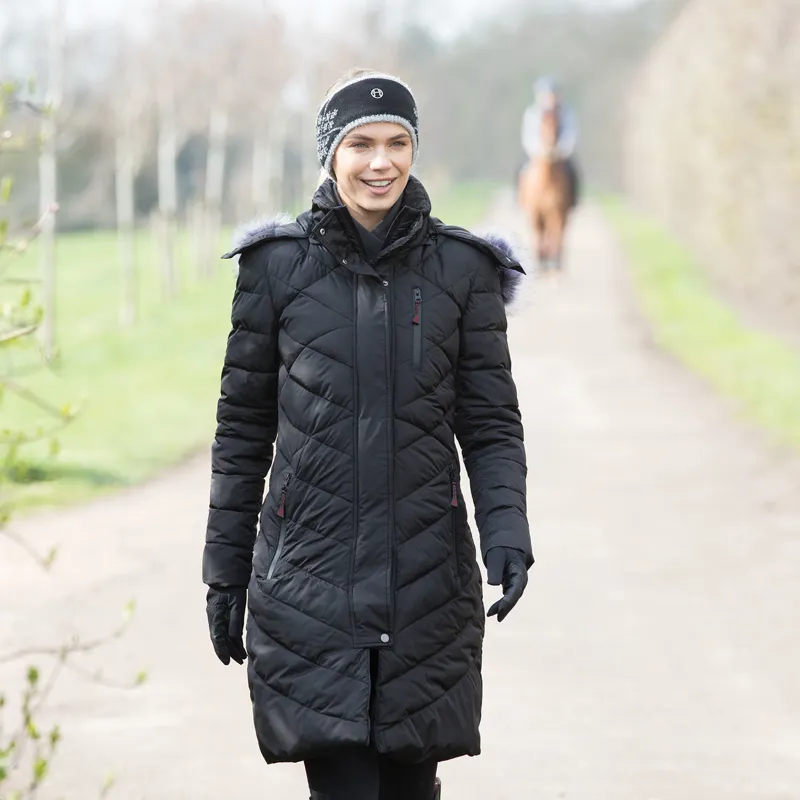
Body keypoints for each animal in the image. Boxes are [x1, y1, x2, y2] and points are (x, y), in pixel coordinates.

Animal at [517, 107, 573, 273]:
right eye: (541, 125)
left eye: (559, 126)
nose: (550, 149)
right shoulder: (536, 213)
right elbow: (539, 236)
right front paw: (541, 262)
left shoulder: (558, 212)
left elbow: (556, 235)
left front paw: (553, 261)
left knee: (558, 234)